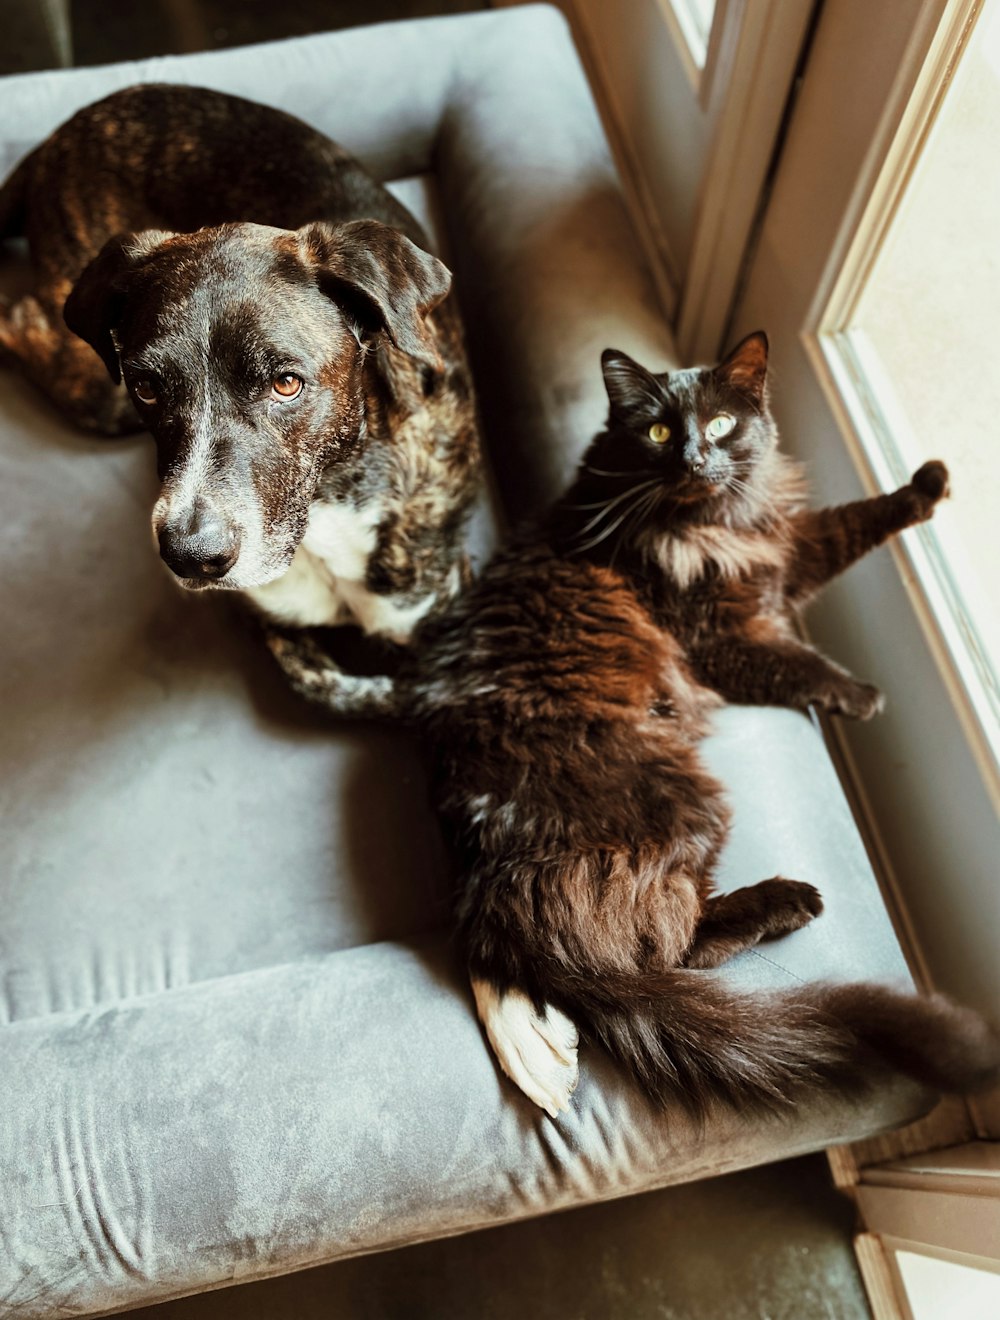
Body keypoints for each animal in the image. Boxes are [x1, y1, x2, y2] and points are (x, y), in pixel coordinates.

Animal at [0, 86, 482, 718]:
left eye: (286, 384)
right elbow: (329, 684)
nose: (190, 556)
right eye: (147, 387)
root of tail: (61, 132)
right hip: (97, 380)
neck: (330, 500)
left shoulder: (447, 603)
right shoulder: (269, 617)